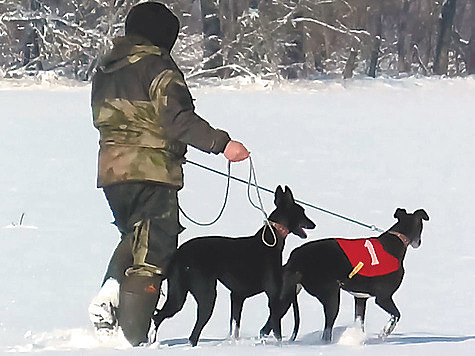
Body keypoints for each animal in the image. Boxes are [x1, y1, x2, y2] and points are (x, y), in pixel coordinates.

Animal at [152, 185, 316, 346]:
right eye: (302, 212)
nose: (314, 224)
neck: (271, 240)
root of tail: (179, 254)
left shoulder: (237, 296)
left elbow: (235, 328)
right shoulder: (273, 296)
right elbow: (277, 331)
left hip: (177, 295)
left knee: (158, 317)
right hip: (206, 295)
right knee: (192, 334)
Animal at [262, 209, 430, 342]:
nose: (419, 242)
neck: (397, 240)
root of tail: (296, 258)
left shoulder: (360, 298)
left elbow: (359, 320)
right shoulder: (383, 298)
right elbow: (396, 315)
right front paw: (384, 332)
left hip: (288, 296)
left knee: (267, 326)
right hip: (331, 295)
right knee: (327, 331)